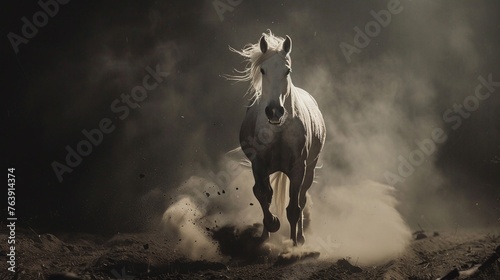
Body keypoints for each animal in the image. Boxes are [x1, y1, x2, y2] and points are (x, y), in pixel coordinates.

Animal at [228, 31, 328, 245]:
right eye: (263, 70)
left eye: (287, 71)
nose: (274, 111)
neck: (279, 129)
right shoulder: (258, 164)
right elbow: (262, 194)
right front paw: (271, 224)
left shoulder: (299, 168)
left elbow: (294, 209)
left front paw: (294, 243)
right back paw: (265, 235)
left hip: (310, 169)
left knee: (301, 199)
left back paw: (300, 237)